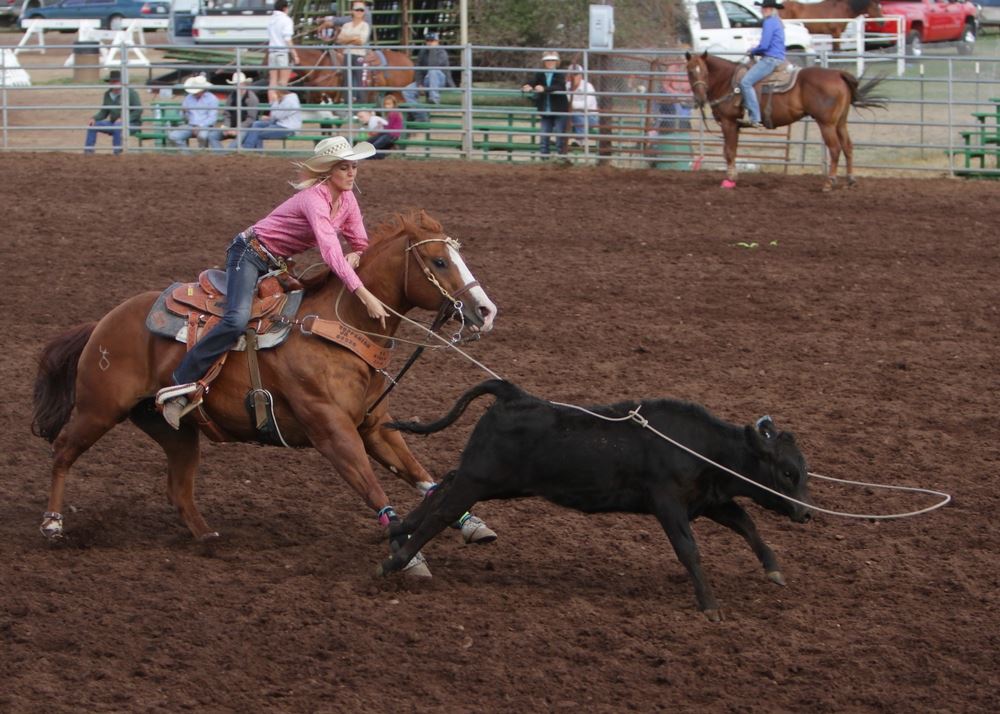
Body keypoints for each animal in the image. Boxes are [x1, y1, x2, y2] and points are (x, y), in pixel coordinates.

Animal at [380, 379, 812, 621]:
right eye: (788, 472)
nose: (807, 513)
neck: (702, 447)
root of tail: (513, 395)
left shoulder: (708, 501)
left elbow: (747, 525)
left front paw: (774, 570)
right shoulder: (667, 502)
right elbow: (689, 549)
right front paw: (710, 606)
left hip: (496, 480)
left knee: (444, 485)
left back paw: (399, 528)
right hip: (481, 478)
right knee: (443, 511)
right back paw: (395, 560)